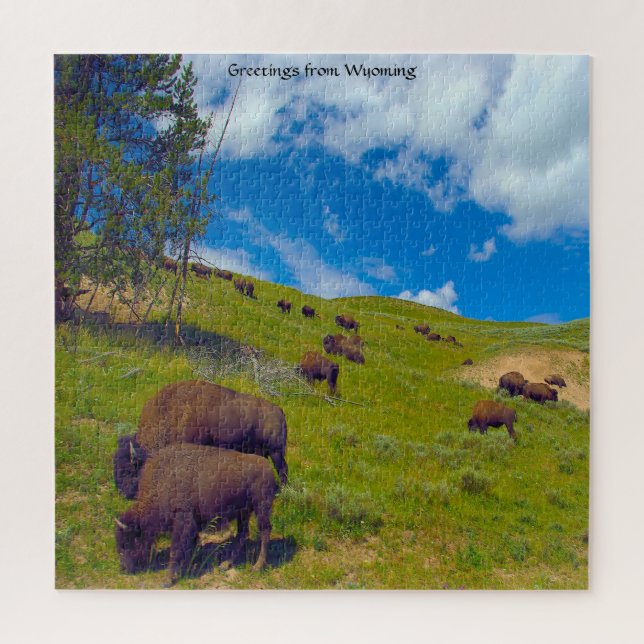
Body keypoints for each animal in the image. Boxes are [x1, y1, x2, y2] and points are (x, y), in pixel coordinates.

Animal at [115, 444, 277, 585]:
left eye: (127, 542)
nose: (124, 568)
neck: (162, 482)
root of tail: (267, 466)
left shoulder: (182, 521)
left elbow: (176, 550)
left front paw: (167, 580)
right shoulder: (192, 523)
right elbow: (189, 546)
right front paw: (185, 571)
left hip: (261, 507)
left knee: (265, 531)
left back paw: (257, 566)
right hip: (243, 512)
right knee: (243, 533)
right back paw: (226, 564)